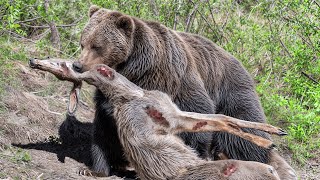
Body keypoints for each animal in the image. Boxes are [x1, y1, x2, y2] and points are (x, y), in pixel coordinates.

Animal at [72, 4, 296, 179]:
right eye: (83, 43)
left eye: (97, 46)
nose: (77, 65)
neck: (133, 69)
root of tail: (239, 61)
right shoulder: (111, 99)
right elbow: (104, 128)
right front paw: (94, 169)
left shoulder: (172, 78)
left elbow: (196, 112)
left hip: (231, 89)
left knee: (240, 129)